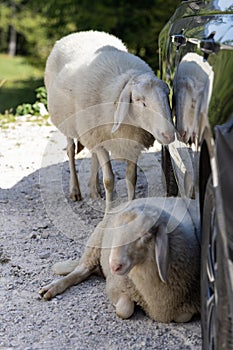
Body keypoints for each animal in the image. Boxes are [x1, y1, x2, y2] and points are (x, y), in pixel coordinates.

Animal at [39, 197, 200, 322]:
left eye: (146, 234)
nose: (114, 266)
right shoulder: (114, 284)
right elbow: (124, 310)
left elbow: (183, 317)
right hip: (96, 240)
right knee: (82, 269)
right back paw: (51, 288)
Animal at [44, 30, 174, 211]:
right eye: (140, 101)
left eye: (167, 96)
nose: (169, 135)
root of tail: (83, 32)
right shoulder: (101, 137)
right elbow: (109, 180)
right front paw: (108, 212)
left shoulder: (130, 142)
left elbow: (131, 177)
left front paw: (131, 207)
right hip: (70, 124)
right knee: (70, 150)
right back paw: (75, 190)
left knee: (93, 154)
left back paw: (94, 189)